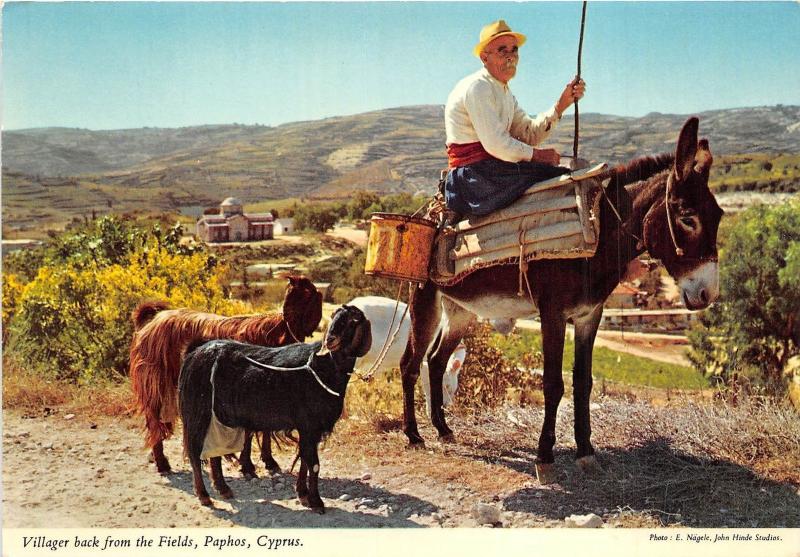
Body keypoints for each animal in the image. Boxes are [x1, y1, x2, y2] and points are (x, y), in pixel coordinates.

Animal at [178, 306, 372, 510]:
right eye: (334, 317)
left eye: (352, 321)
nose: (330, 340)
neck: (324, 368)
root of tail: (194, 354)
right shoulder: (309, 425)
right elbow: (313, 463)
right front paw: (316, 502)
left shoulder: (311, 429)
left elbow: (305, 459)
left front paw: (303, 494)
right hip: (198, 413)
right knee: (195, 452)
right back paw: (204, 495)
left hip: (217, 418)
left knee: (214, 453)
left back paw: (223, 489)